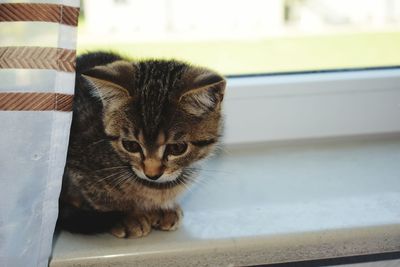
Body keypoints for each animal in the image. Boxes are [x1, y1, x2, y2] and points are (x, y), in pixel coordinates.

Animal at [56, 52, 225, 239]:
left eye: (177, 148)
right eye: (130, 145)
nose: (152, 174)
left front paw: (163, 209)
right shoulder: (76, 159)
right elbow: (98, 196)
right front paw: (128, 216)